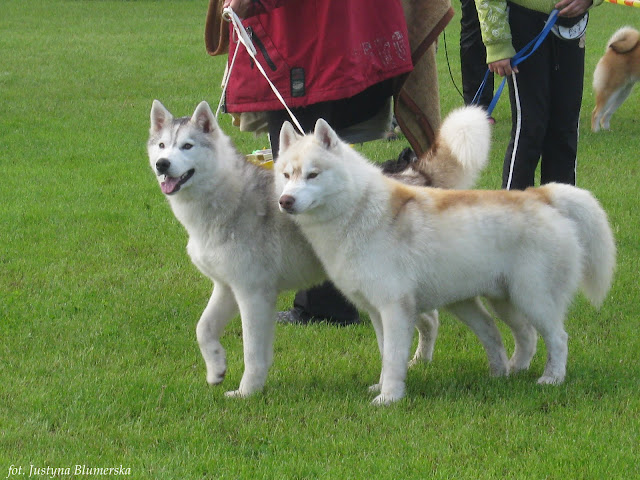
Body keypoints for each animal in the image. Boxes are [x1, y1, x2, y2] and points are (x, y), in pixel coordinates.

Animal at [147, 100, 491, 398]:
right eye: (162, 146)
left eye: (187, 146)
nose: (162, 164)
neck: (221, 204)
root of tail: (412, 175)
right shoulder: (226, 287)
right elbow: (203, 329)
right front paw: (216, 369)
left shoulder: (253, 294)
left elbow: (253, 353)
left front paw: (247, 392)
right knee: (429, 319)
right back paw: (420, 361)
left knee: (427, 318)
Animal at [276, 119, 616, 405]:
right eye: (286, 175)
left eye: (313, 174)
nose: (285, 201)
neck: (357, 211)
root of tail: (541, 195)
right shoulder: (376, 312)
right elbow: (386, 354)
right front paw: (381, 386)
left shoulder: (395, 308)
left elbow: (394, 356)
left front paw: (389, 398)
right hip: (499, 301)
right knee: (523, 335)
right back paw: (510, 371)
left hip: (533, 298)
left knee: (557, 338)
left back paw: (551, 378)